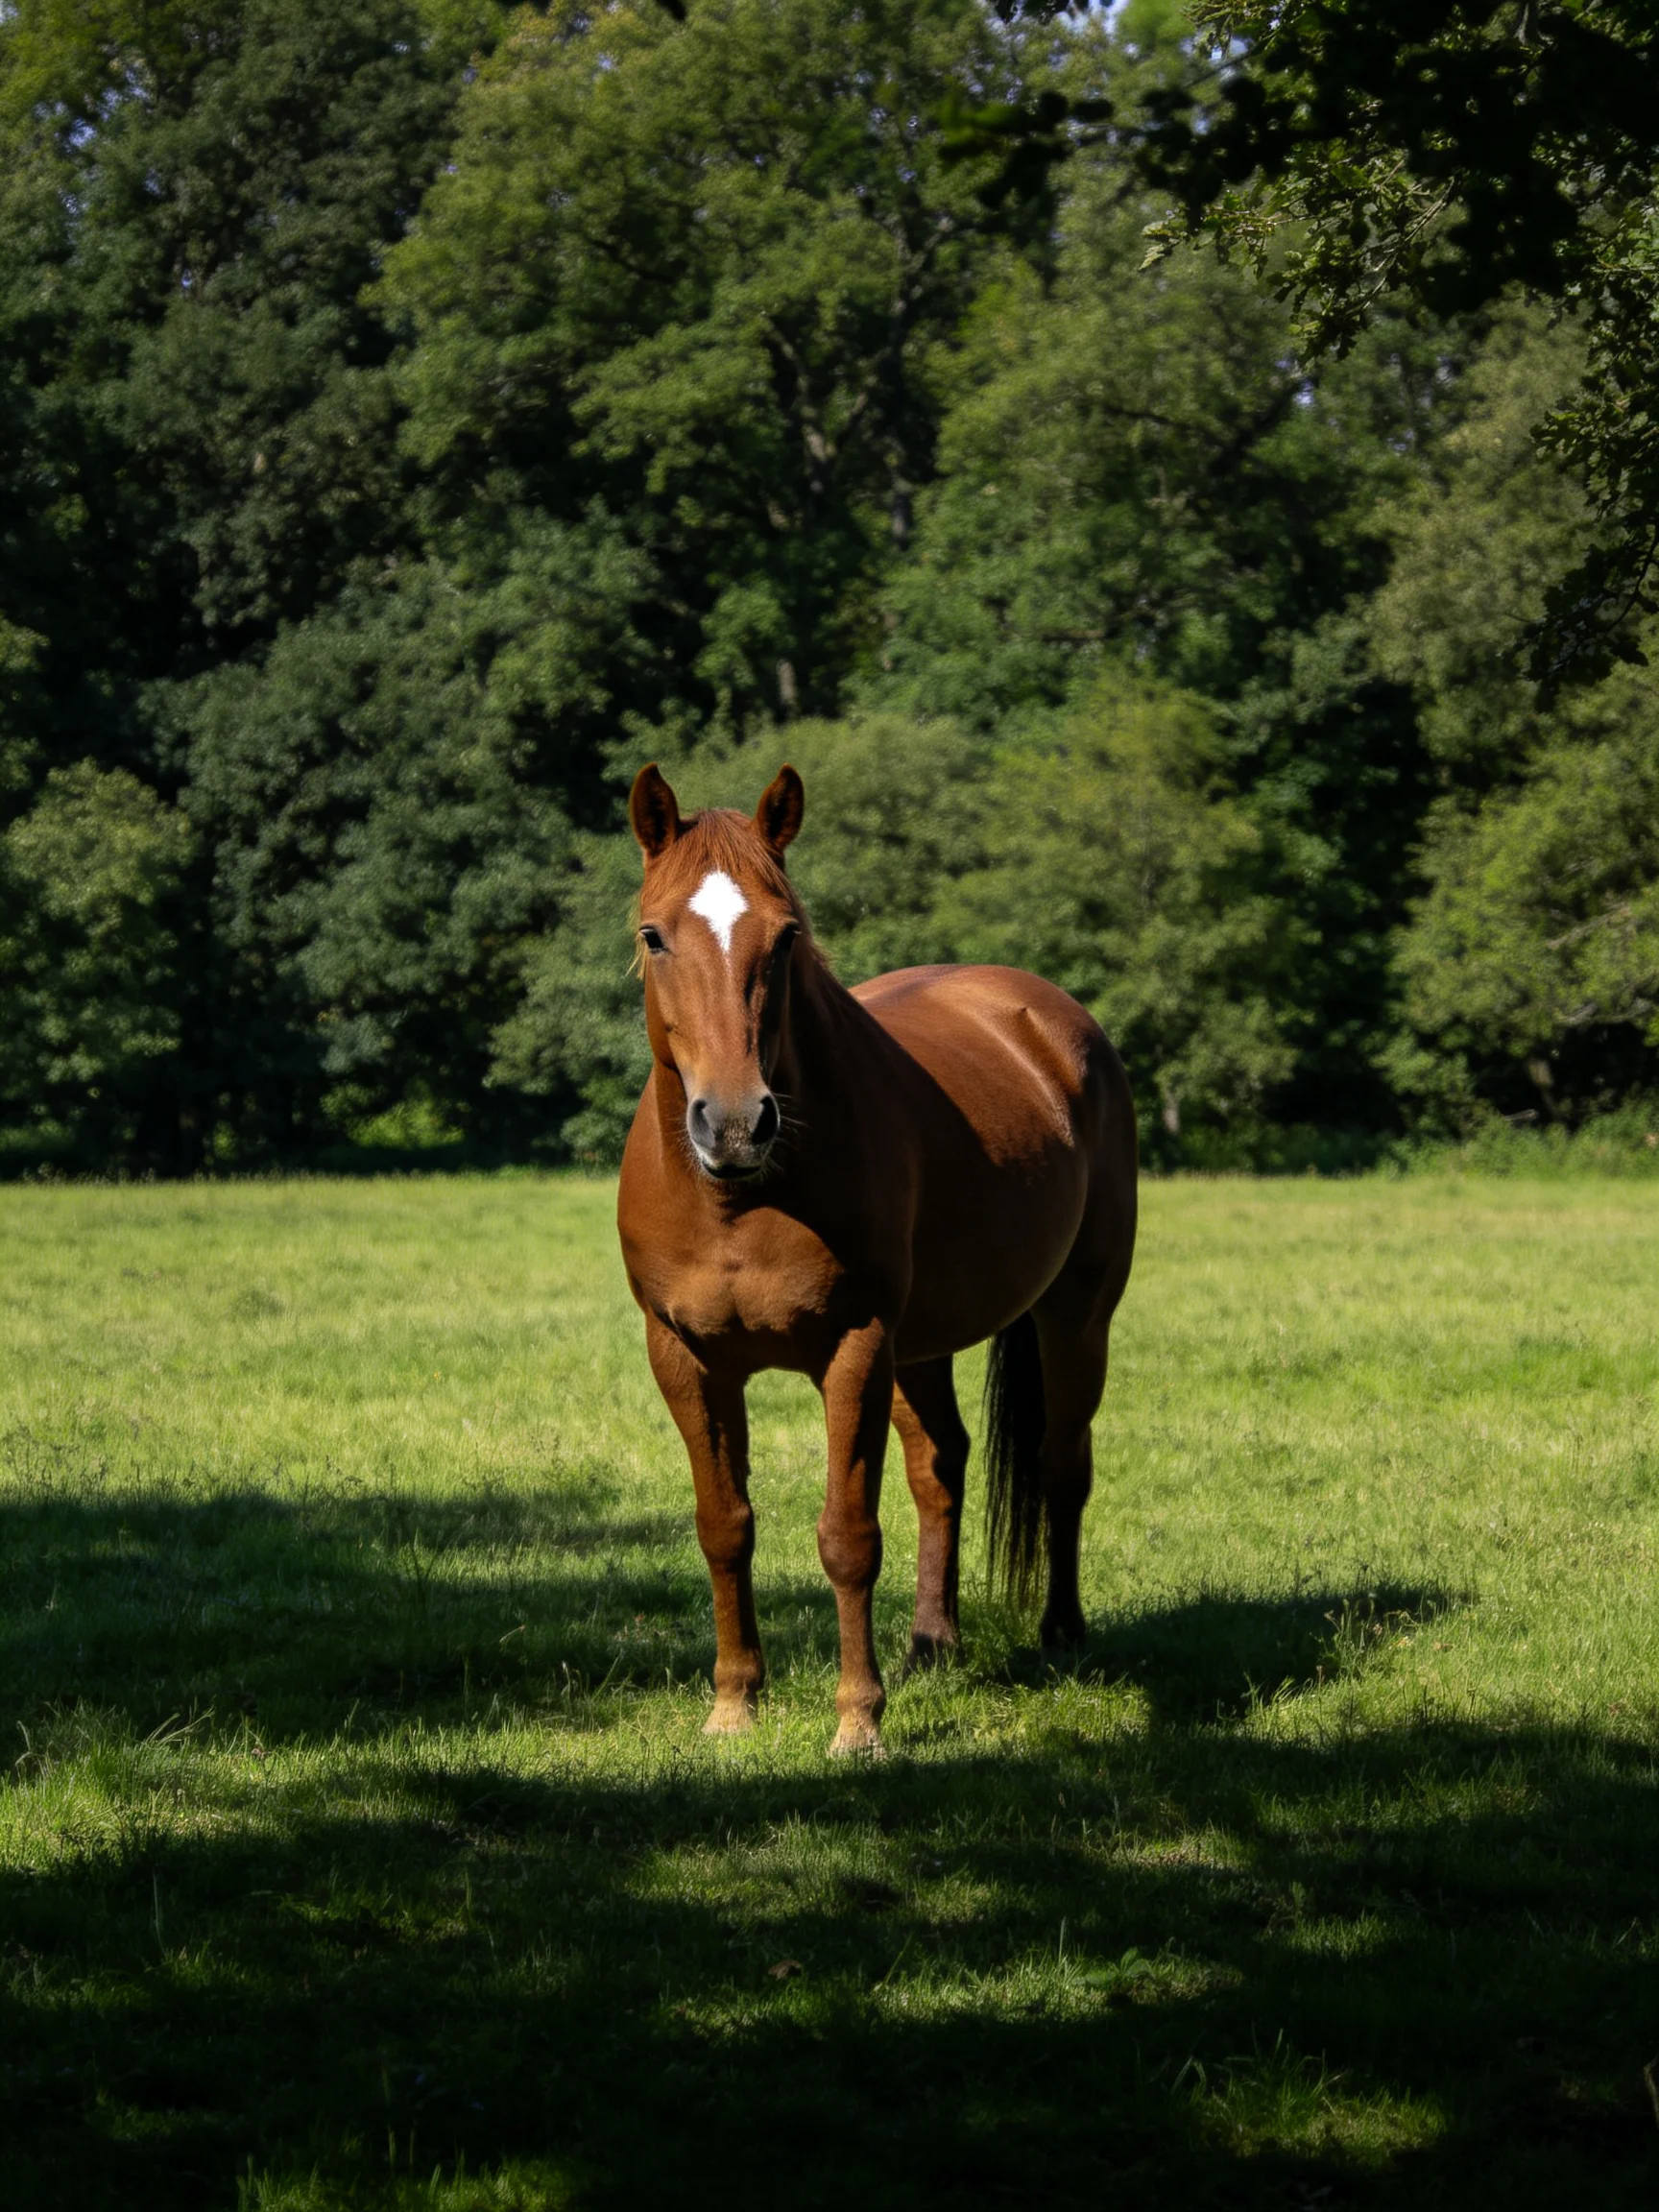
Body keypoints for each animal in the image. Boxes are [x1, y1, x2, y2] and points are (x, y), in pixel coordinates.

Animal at [615, 762, 1137, 1753]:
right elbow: (724, 1526)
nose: (734, 1123)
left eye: (786, 937)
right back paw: (932, 1643)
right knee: (941, 1467)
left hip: (1074, 1312)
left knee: (1062, 1461)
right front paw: (734, 1702)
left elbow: (848, 1537)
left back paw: (1062, 1632)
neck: (742, 1200)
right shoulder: (684, 1357)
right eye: (655, 935)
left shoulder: (853, 1348)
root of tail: (1049, 1018)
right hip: (921, 1344)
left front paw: (858, 1720)